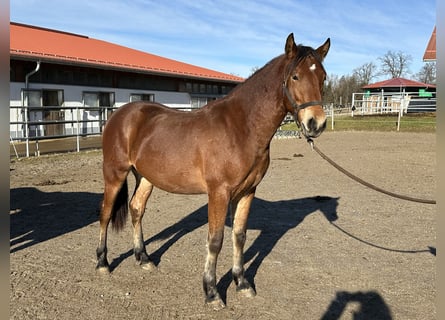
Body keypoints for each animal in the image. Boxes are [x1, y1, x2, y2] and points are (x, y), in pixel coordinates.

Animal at [95, 33, 328, 310]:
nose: (316, 123)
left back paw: (143, 259)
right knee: (105, 214)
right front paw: (212, 292)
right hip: (114, 174)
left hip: (146, 178)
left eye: (323, 77)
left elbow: (239, 236)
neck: (241, 127)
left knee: (136, 209)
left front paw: (242, 283)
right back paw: (102, 263)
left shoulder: (247, 192)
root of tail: (119, 114)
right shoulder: (219, 192)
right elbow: (215, 240)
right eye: (295, 76)